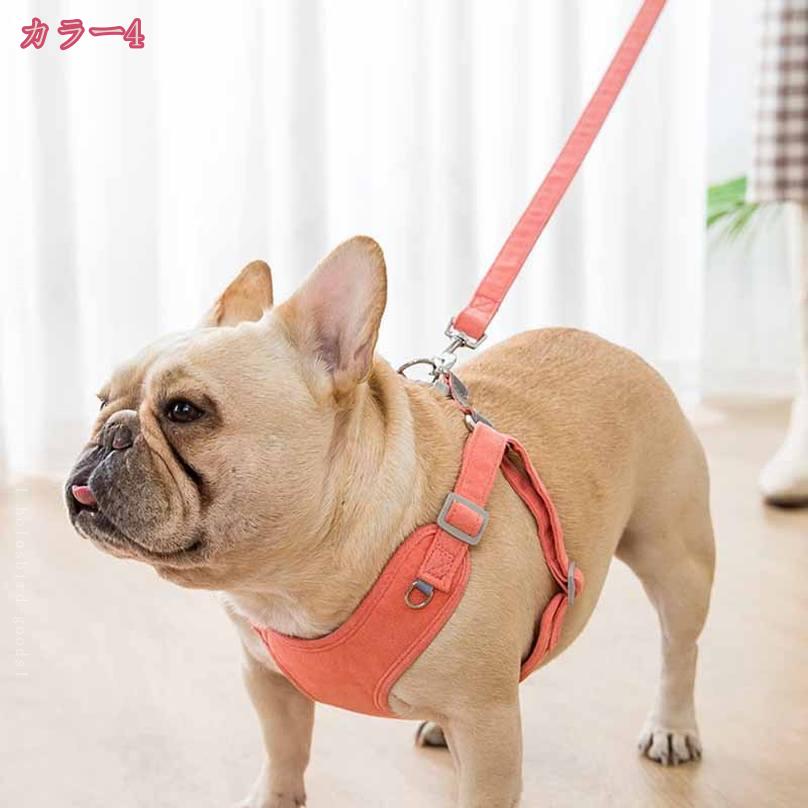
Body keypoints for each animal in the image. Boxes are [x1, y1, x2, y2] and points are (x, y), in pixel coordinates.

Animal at [66, 236, 715, 808]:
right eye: (101, 401)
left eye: (185, 411)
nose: (110, 434)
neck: (290, 580)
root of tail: (614, 346)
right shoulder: (267, 679)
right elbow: (283, 753)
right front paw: (273, 797)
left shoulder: (488, 726)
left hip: (675, 558)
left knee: (678, 649)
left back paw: (672, 727)